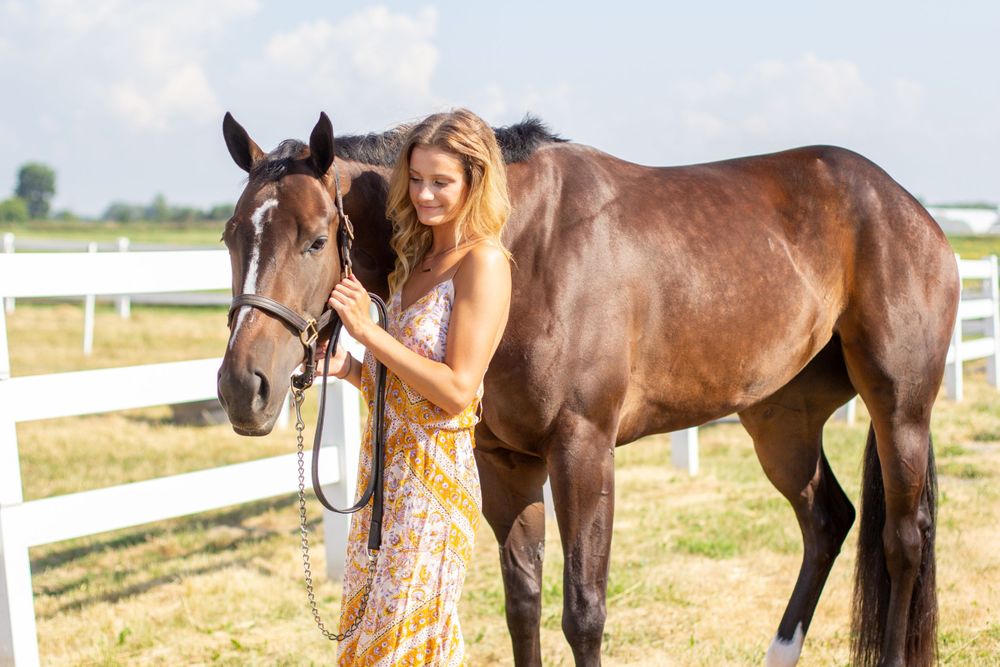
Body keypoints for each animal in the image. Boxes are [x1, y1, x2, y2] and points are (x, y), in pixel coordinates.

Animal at [216, 111, 958, 667]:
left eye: (317, 240)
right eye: (231, 236)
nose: (241, 387)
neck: (521, 247)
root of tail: (909, 208)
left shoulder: (583, 450)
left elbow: (583, 612)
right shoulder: (505, 461)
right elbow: (523, 604)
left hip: (899, 408)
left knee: (903, 538)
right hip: (780, 419)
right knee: (828, 520)